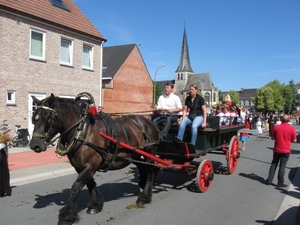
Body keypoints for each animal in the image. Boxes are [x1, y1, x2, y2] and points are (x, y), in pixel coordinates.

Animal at [30, 92, 161, 225]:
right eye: (33, 118)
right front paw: (95, 205)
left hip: (150, 152)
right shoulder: (82, 167)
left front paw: (67, 216)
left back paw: (144, 197)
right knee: (143, 168)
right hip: (135, 155)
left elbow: (75, 187)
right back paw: (143, 186)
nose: (35, 145)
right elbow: (90, 184)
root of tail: (148, 122)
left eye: (48, 119)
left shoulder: (89, 166)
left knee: (150, 172)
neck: (83, 132)